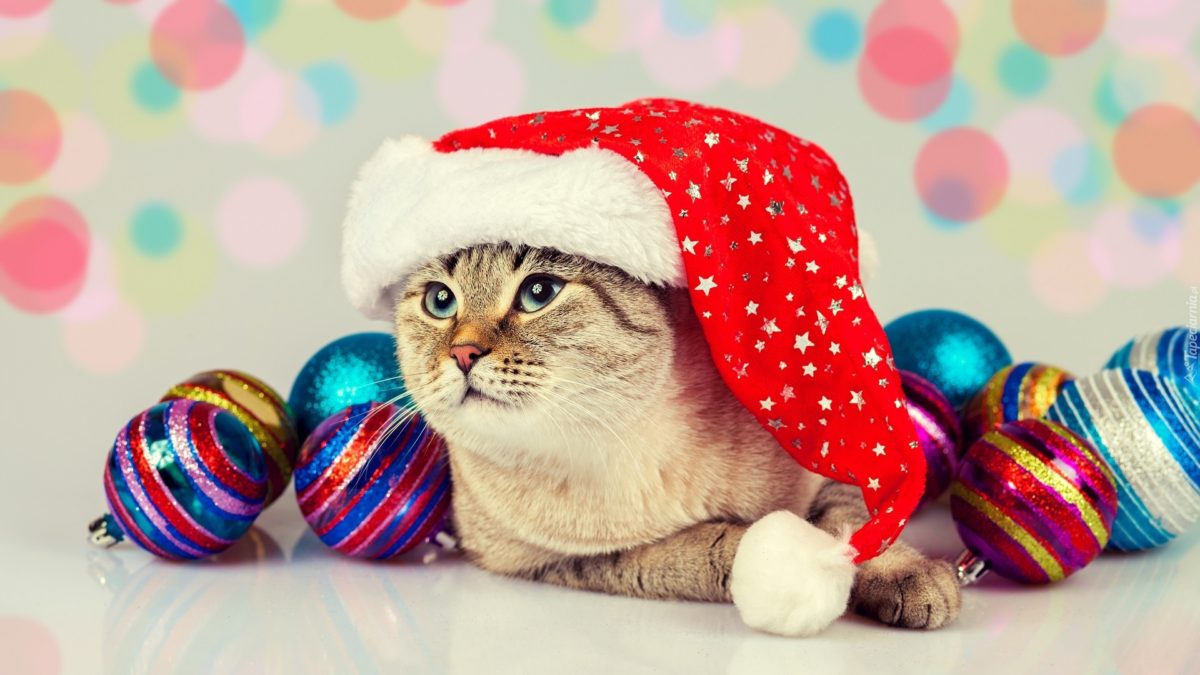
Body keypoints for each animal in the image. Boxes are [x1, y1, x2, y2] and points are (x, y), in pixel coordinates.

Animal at [388, 241, 960, 629]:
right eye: (440, 301)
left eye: (538, 293)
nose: (462, 353)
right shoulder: (556, 560)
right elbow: (708, 547)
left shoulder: (833, 454)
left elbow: (858, 525)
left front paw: (907, 577)